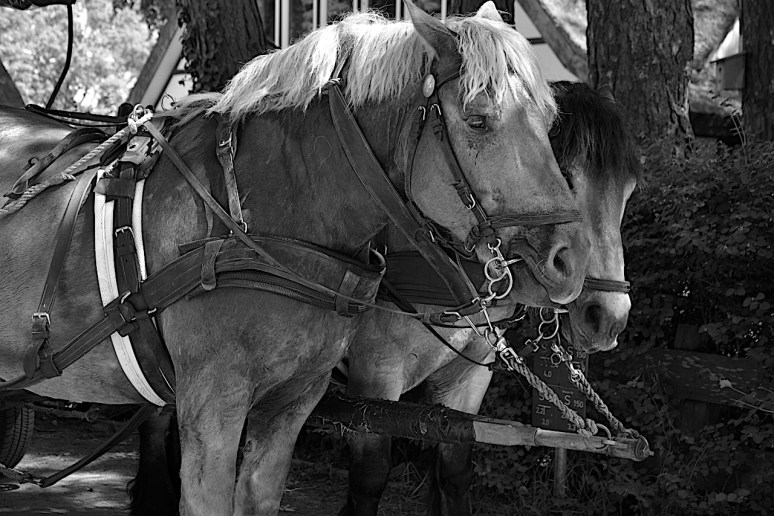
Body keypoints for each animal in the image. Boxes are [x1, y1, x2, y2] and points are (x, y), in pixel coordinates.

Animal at [0, 3, 588, 514]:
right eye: (478, 120)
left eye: (548, 119)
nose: (569, 260)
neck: (259, 210)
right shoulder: (213, 405)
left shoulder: (290, 405)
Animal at [339, 81, 641, 516]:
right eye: (565, 175)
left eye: (629, 191)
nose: (609, 318)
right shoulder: (374, 376)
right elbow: (368, 479)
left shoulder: (469, 378)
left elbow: (454, 468)